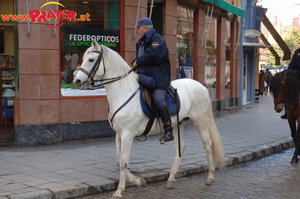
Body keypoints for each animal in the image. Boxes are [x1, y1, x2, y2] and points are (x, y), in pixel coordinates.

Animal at [74, 39, 226, 198]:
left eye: (91, 60)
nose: (77, 81)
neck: (123, 92)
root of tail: (201, 86)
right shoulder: (119, 134)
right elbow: (119, 161)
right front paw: (139, 181)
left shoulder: (128, 134)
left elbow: (123, 162)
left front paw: (119, 190)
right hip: (178, 123)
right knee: (181, 147)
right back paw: (171, 179)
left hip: (200, 120)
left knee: (208, 145)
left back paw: (210, 176)